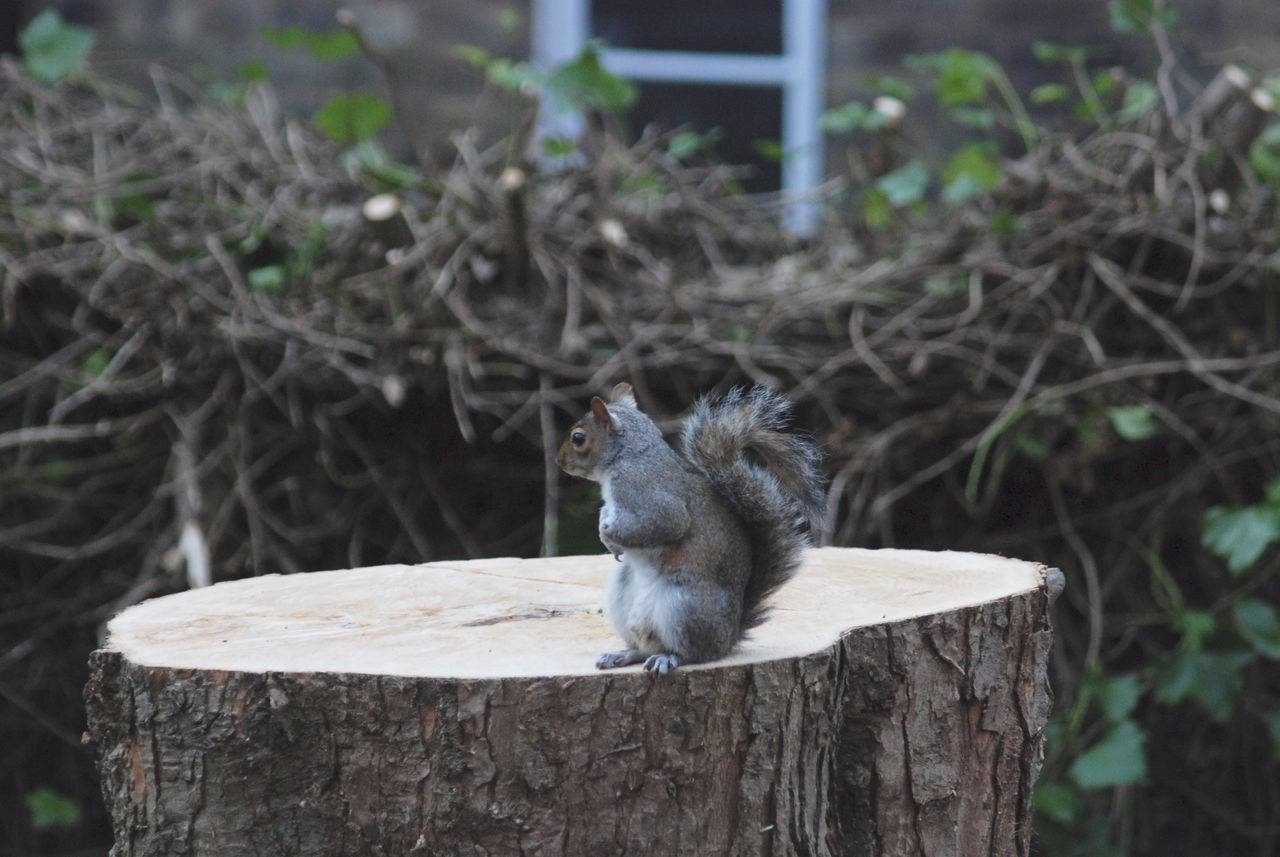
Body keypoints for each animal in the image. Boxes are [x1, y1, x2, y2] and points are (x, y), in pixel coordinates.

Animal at [558, 383, 819, 680]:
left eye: (578, 438)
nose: (559, 461)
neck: (628, 456)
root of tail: (728, 637)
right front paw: (607, 531)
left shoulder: (648, 494)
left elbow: (666, 523)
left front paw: (608, 534)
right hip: (622, 598)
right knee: (643, 648)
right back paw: (622, 654)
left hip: (684, 607)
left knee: (693, 653)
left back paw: (668, 658)